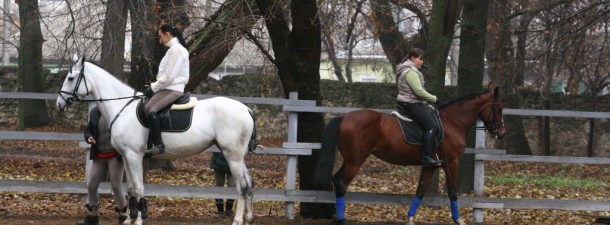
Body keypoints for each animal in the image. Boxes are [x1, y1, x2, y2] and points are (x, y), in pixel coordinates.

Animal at [55, 55, 255, 224]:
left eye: (71, 78)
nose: (60, 104)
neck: (122, 107)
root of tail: (246, 109)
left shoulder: (134, 155)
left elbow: (138, 188)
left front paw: (139, 220)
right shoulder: (126, 157)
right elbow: (130, 188)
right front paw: (130, 219)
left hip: (232, 156)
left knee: (242, 187)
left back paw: (238, 220)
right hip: (236, 156)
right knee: (248, 184)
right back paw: (249, 218)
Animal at [314, 86, 504, 225]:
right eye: (499, 109)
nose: (501, 133)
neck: (452, 123)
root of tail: (344, 117)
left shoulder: (431, 165)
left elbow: (420, 190)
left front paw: (410, 218)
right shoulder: (451, 163)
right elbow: (452, 192)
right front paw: (458, 220)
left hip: (349, 160)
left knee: (335, 179)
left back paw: (337, 216)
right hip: (355, 161)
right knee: (341, 184)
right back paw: (342, 220)